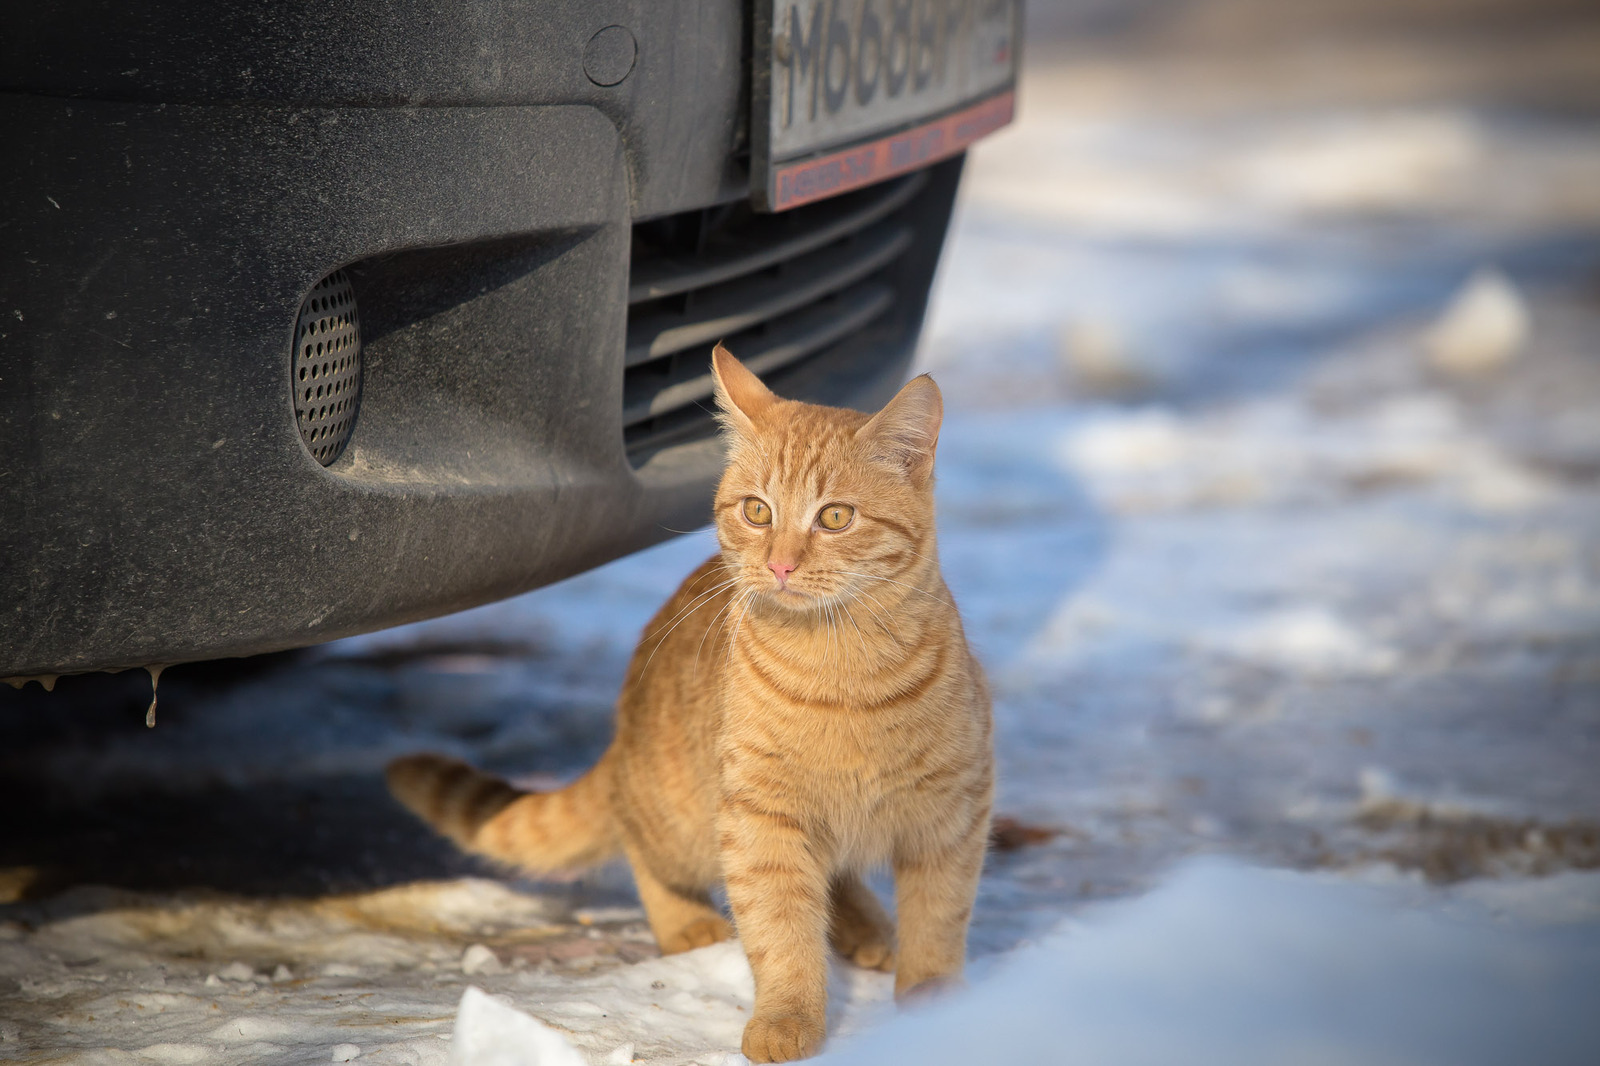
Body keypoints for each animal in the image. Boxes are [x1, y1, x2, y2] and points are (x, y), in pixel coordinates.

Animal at [387, 344, 985, 1056]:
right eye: (757, 511)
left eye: (835, 517)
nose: (780, 564)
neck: (841, 670)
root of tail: (621, 734)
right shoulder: (759, 821)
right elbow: (781, 931)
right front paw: (787, 1017)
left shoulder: (952, 814)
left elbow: (939, 918)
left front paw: (935, 1002)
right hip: (681, 818)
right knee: (641, 846)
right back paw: (690, 924)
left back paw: (865, 928)